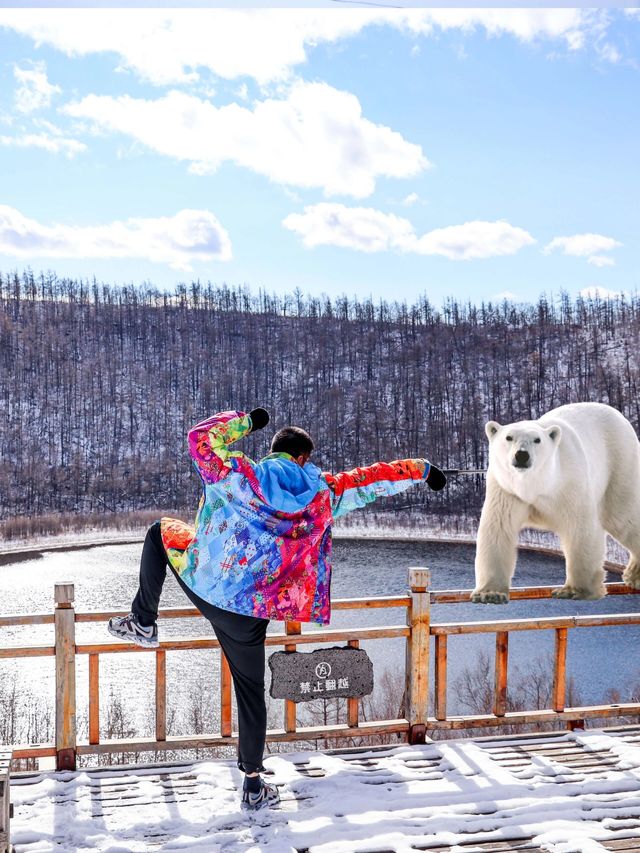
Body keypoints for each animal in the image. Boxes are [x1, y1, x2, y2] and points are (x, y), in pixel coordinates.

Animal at [472, 402, 640, 604]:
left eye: (537, 440)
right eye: (508, 437)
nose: (522, 455)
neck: (538, 484)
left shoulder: (569, 483)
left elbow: (579, 528)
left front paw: (575, 590)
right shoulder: (506, 489)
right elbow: (498, 530)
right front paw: (490, 593)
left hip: (619, 463)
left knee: (621, 516)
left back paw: (634, 575)